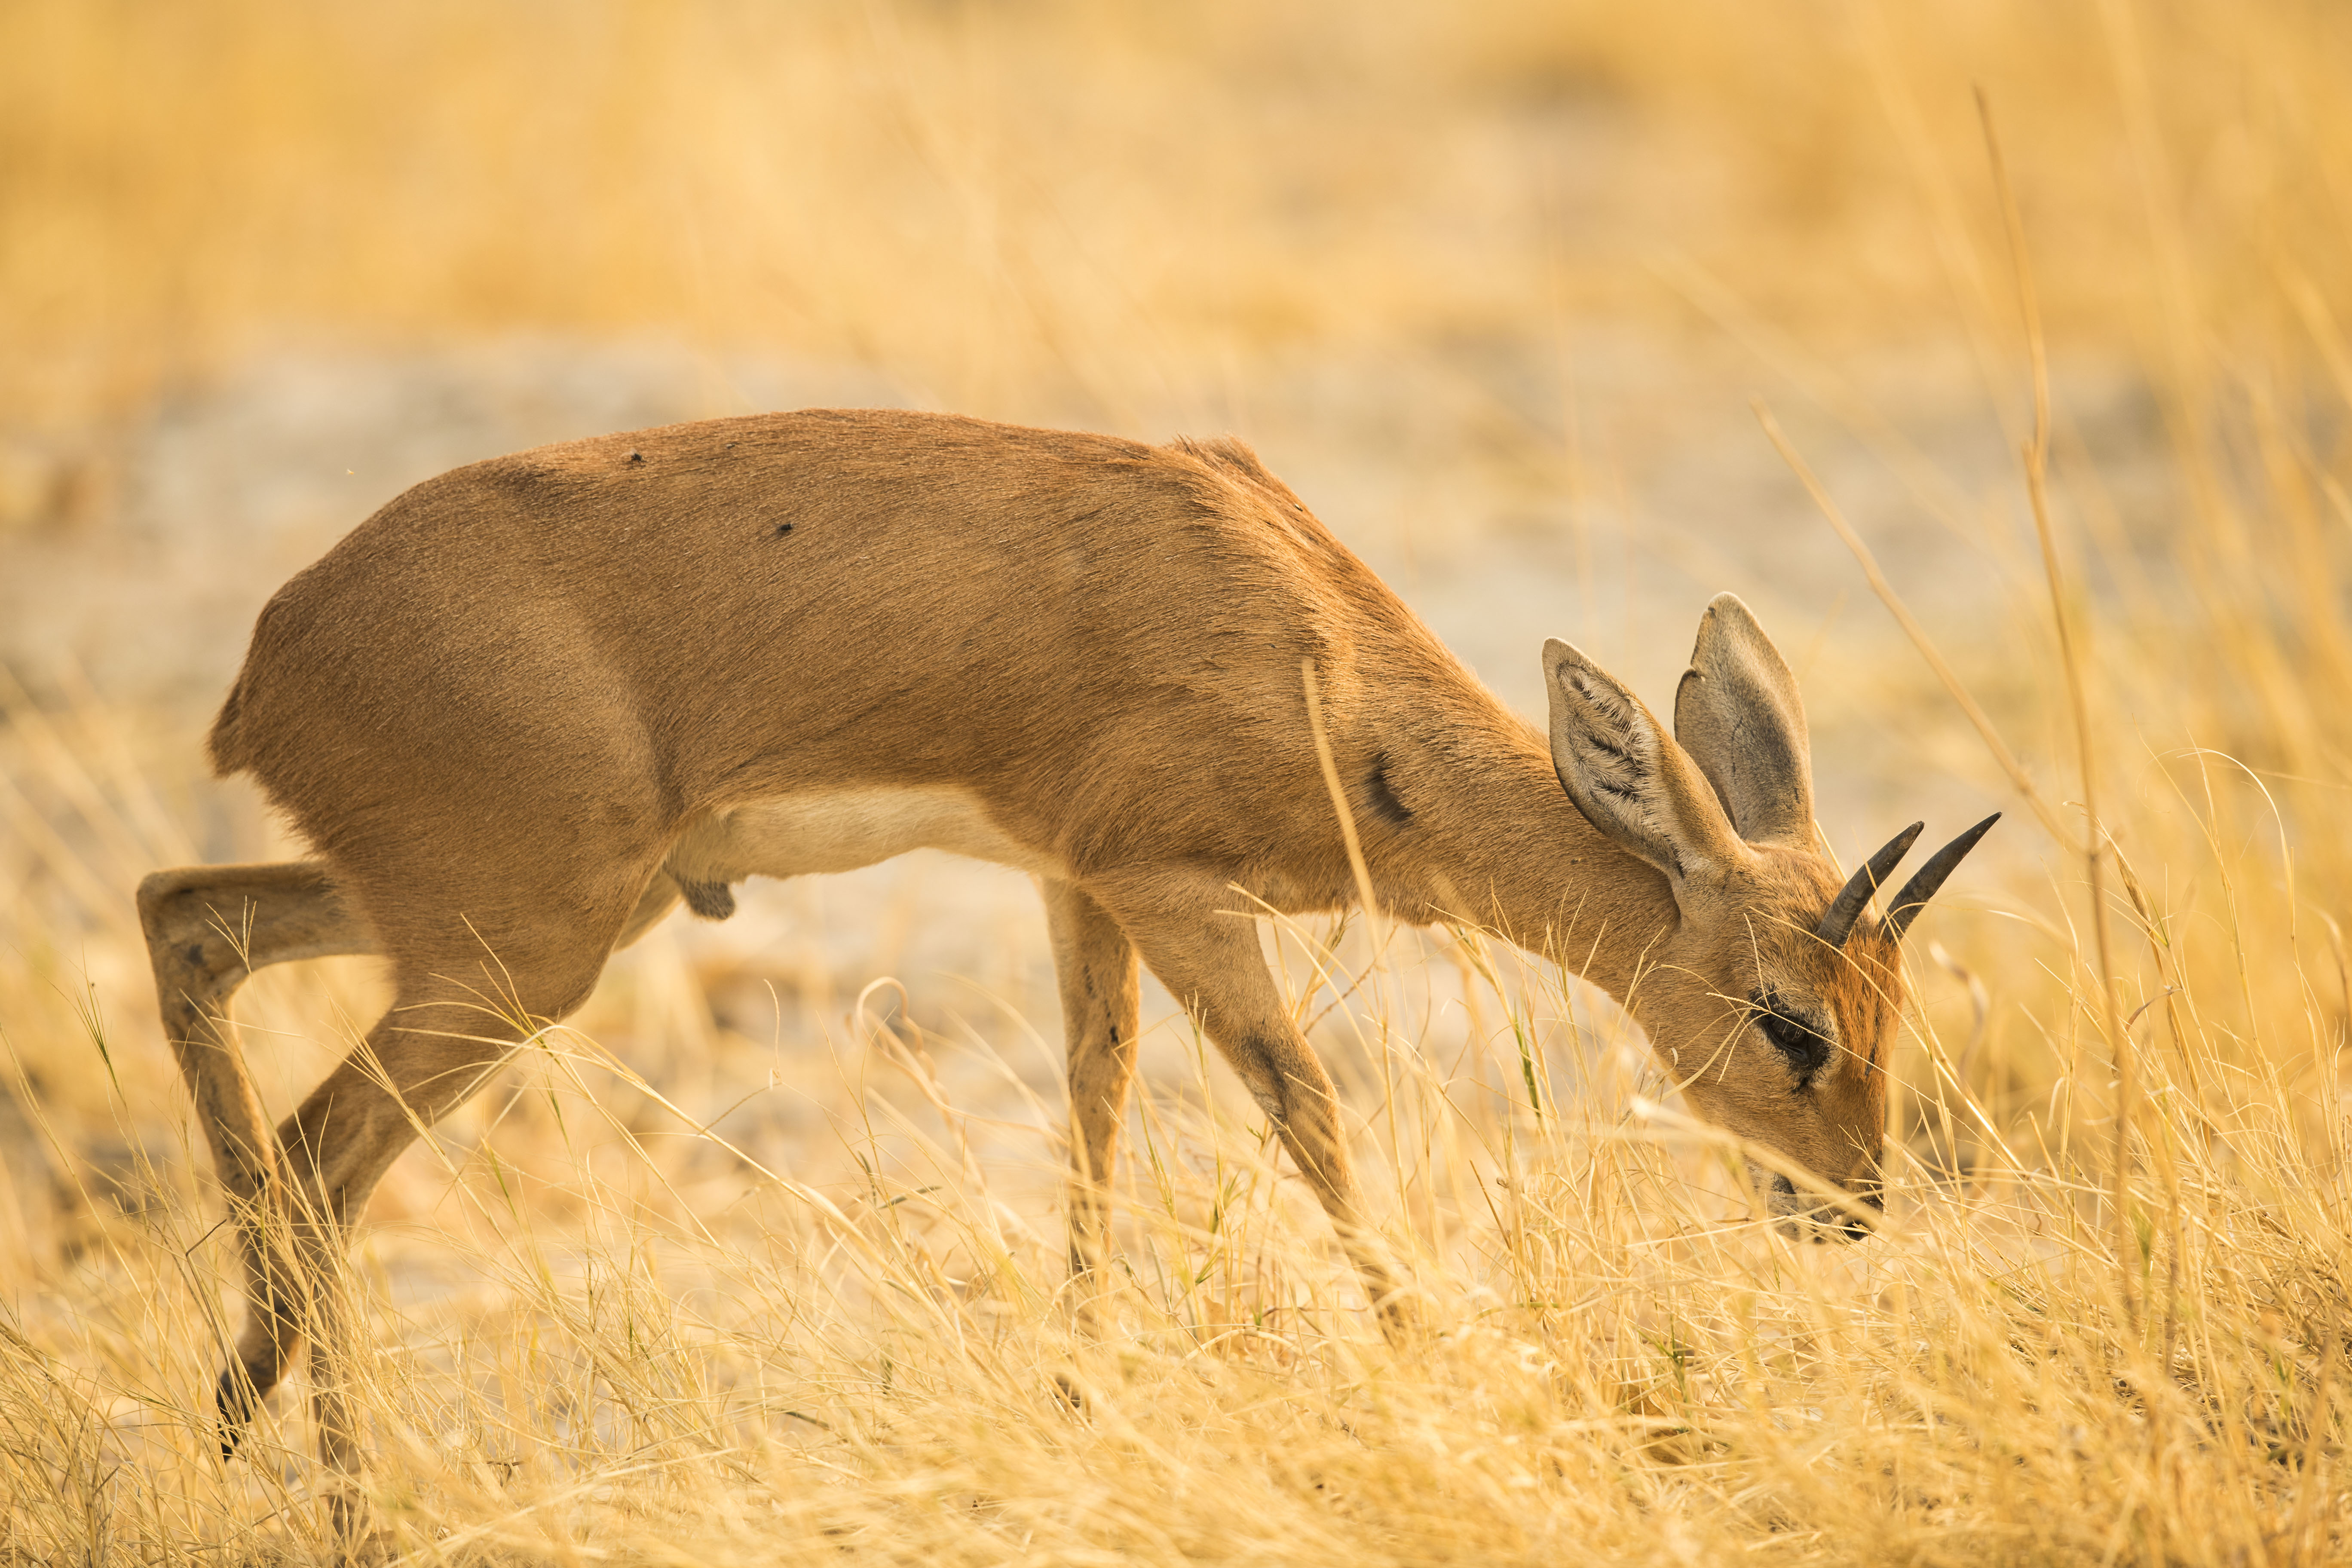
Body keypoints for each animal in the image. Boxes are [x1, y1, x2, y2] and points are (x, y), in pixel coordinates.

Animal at [138, 407, 1994, 1495]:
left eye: (1891, 1008)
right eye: (1792, 1020)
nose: (1853, 1203)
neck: (1307, 648)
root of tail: (269, 661)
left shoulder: (1070, 883)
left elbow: (1095, 1109)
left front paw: (1078, 1389)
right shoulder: (1169, 887)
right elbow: (1305, 1110)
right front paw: (1434, 1358)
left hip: (485, 914)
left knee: (186, 926)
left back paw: (234, 1428)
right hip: (528, 949)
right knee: (320, 1148)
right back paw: (346, 1497)